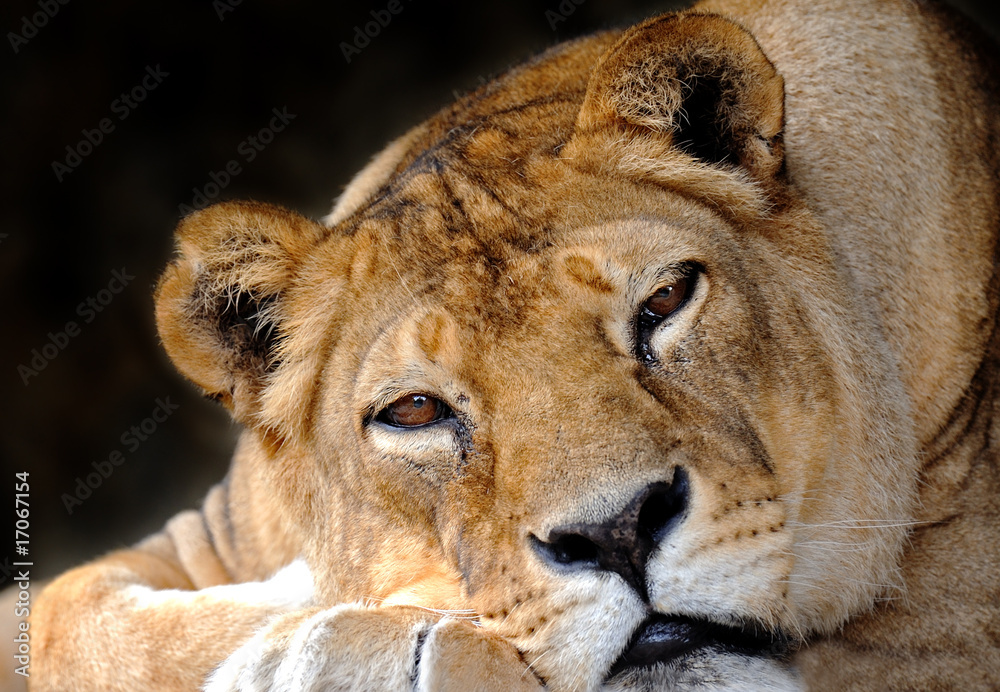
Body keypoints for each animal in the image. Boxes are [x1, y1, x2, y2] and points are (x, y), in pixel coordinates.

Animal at [27, 0, 1000, 689]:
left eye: (666, 300)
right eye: (416, 410)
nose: (614, 534)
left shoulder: (945, 631)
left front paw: (363, 646)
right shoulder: (202, 540)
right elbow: (72, 614)